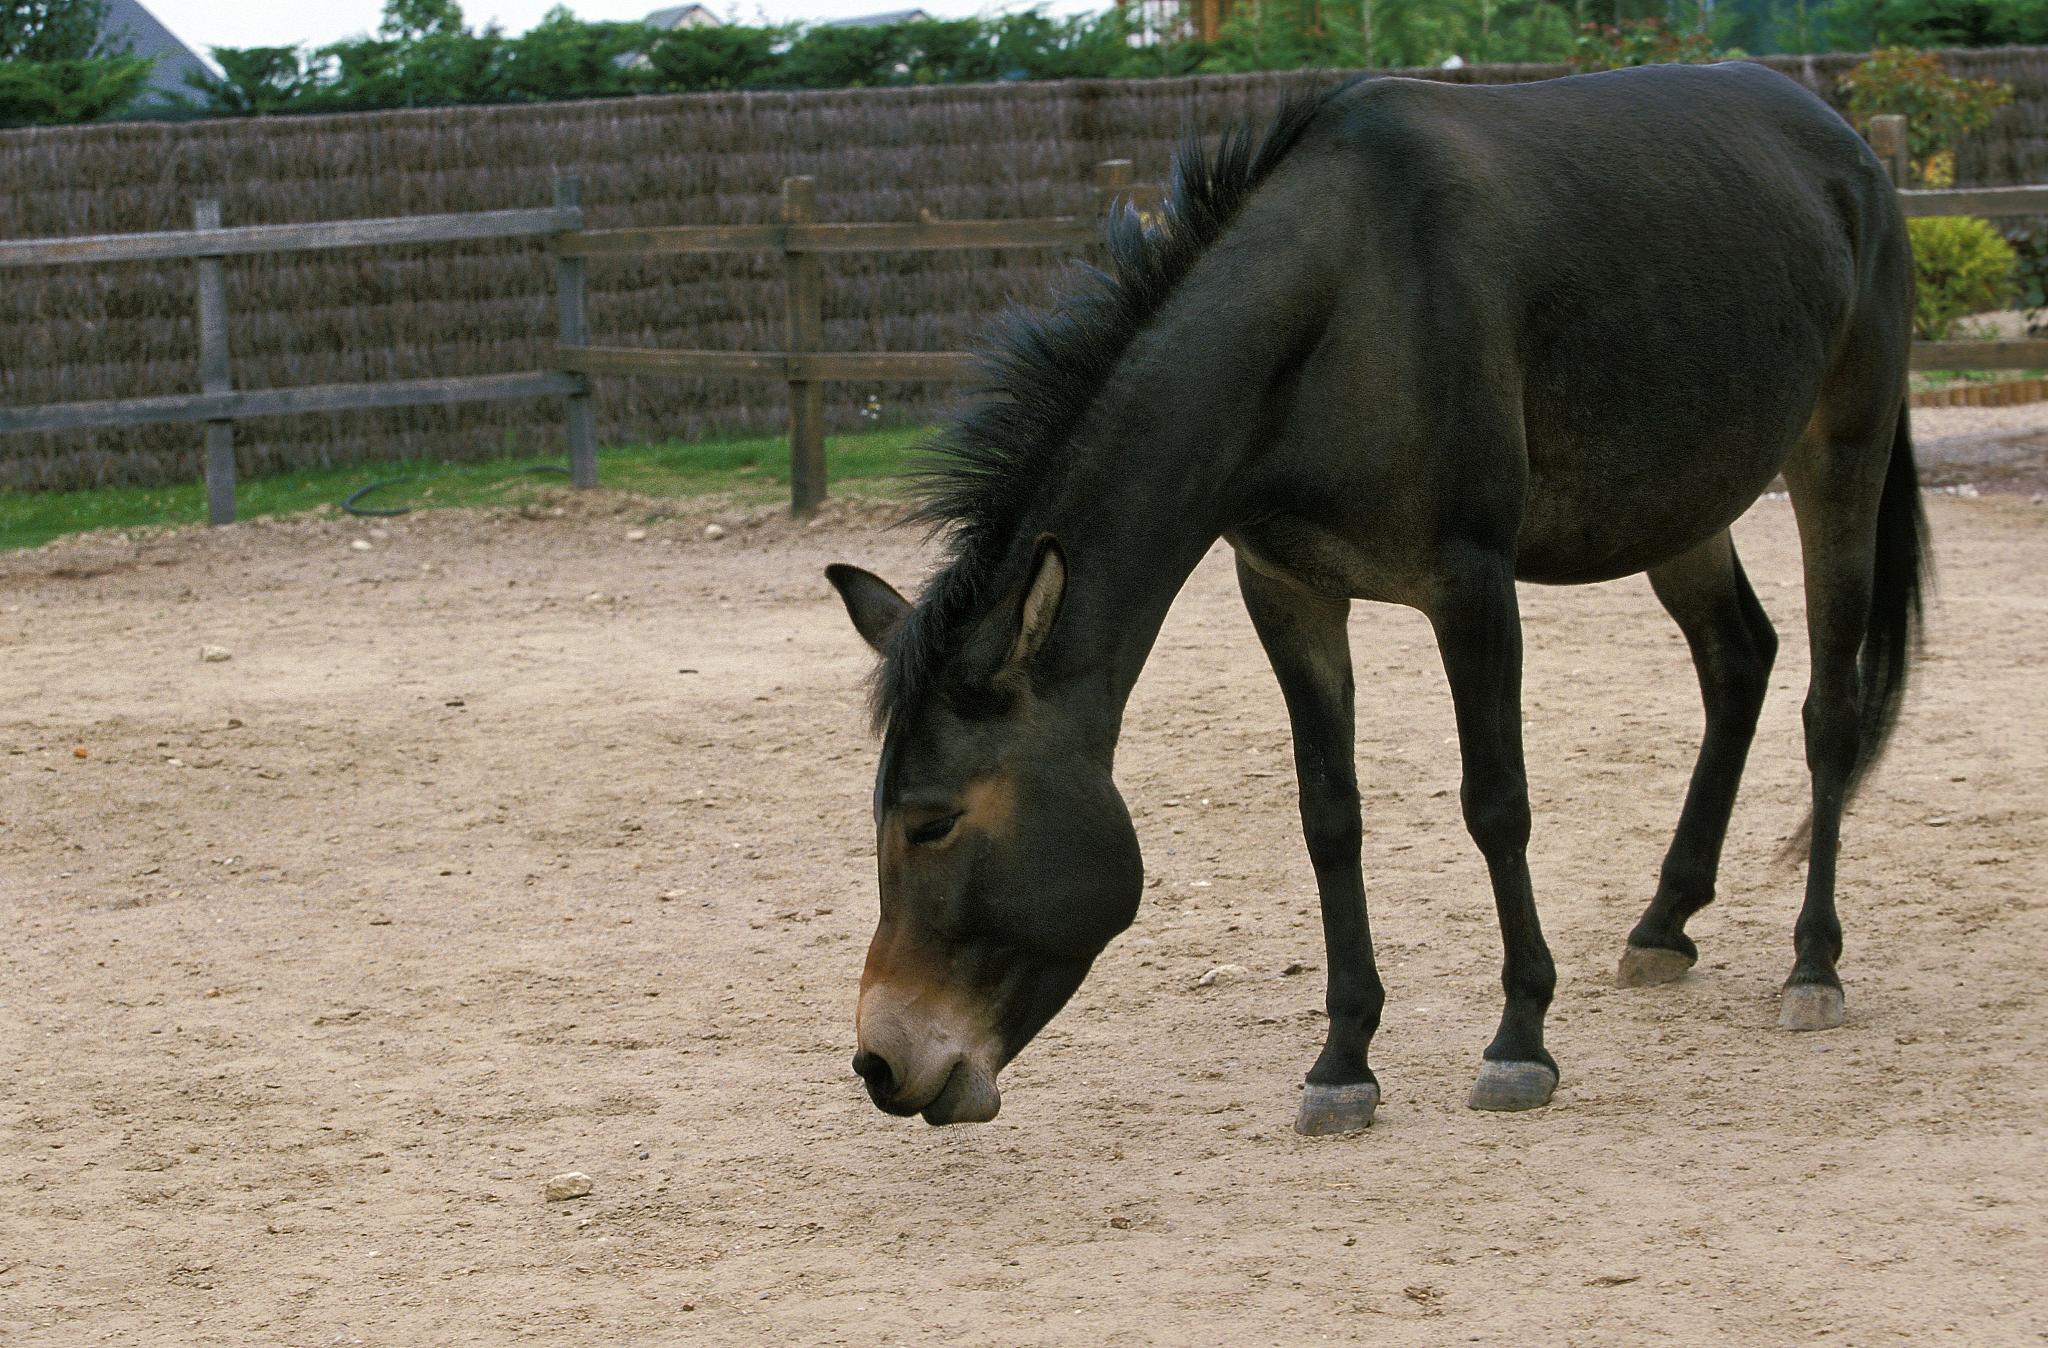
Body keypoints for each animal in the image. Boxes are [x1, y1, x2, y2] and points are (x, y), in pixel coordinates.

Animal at [826, 61, 1924, 1134]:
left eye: (932, 823)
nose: (882, 1064)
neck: (1338, 309)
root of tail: (1847, 144)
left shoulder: (1470, 584)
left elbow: (1496, 802)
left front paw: (1519, 1042)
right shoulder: (1288, 593)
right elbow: (1329, 816)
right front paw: (1343, 1061)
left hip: (1839, 455)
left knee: (1828, 705)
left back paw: (1813, 965)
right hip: (1682, 506)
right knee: (1737, 659)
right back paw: (1664, 924)